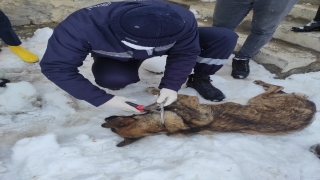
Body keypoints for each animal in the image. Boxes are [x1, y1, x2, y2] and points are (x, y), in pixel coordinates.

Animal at [101, 81, 316, 147]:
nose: (105, 119)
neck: (161, 125)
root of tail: (313, 111)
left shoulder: (192, 102)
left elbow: (165, 97)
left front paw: (156, 94)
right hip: (259, 101)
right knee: (277, 88)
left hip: (260, 100)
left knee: (278, 87)